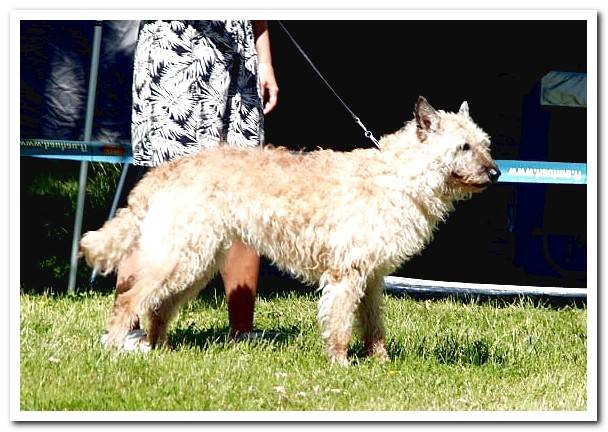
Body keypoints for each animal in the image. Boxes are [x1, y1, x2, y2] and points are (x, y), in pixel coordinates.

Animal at [81, 97, 498, 364]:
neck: (398, 176)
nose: (495, 172)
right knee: (129, 299)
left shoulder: (372, 277)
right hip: (178, 258)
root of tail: (166, 169)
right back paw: (116, 350)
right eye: (463, 146)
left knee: (159, 308)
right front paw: (340, 363)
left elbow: (373, 324)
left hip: (196, 261)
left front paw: (379, 362)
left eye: (484, 144)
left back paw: (160, 352)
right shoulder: (347, 273)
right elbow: (341, 322)